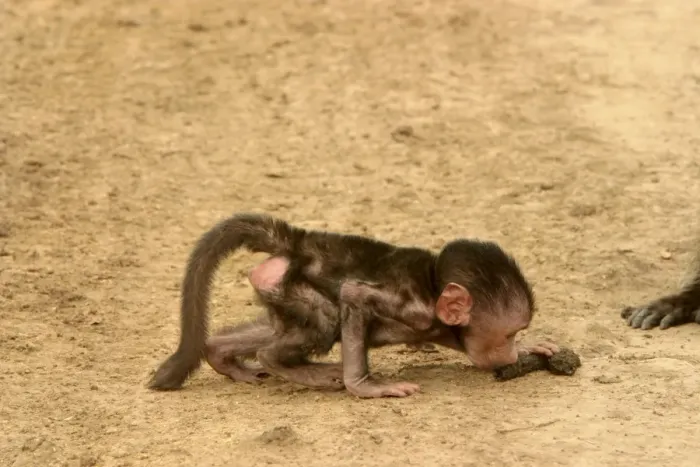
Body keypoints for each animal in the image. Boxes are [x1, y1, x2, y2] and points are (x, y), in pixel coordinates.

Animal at [149, 212, 559, 398]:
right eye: (506, 334)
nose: (511, 354)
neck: (432, 285)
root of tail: (299, 243)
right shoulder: (414, 308)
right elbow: (354, 294)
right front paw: (364, 386)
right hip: (295, 289)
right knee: (323, 321)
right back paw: (291, 366)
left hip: (280, 291)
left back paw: (220, 354)